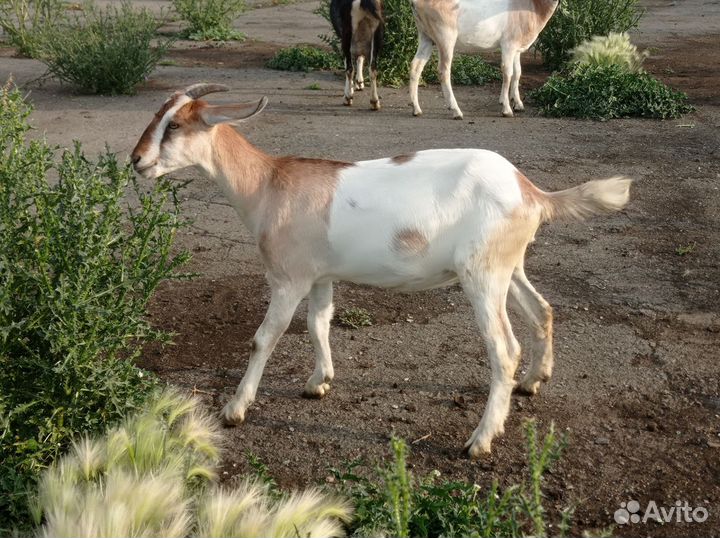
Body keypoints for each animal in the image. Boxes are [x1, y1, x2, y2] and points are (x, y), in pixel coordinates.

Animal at [131, 84, 632, 457]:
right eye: (157, 116)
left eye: (175, 125)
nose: (136, 160)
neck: (269, 184)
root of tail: (532, 192)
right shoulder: (321, 276)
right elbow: (319, 324)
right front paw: (318, 382)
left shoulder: (288, 277)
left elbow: (264, 338)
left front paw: (235, 409)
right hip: (509, 266)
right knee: (542, 309)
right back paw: (532, 381)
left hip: (483, 275)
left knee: (504, 349)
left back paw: (480, 440)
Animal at [409, 0, 558, 118]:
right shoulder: (508, 45)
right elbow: (507, 73)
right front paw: (506, 109)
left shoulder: (516, 49)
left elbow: (517, 73)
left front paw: (517, 104)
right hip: (445, 38)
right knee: (443, 71)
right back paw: (456, 111)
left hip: (426, 37)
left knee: (416, 66)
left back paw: (416, 109)